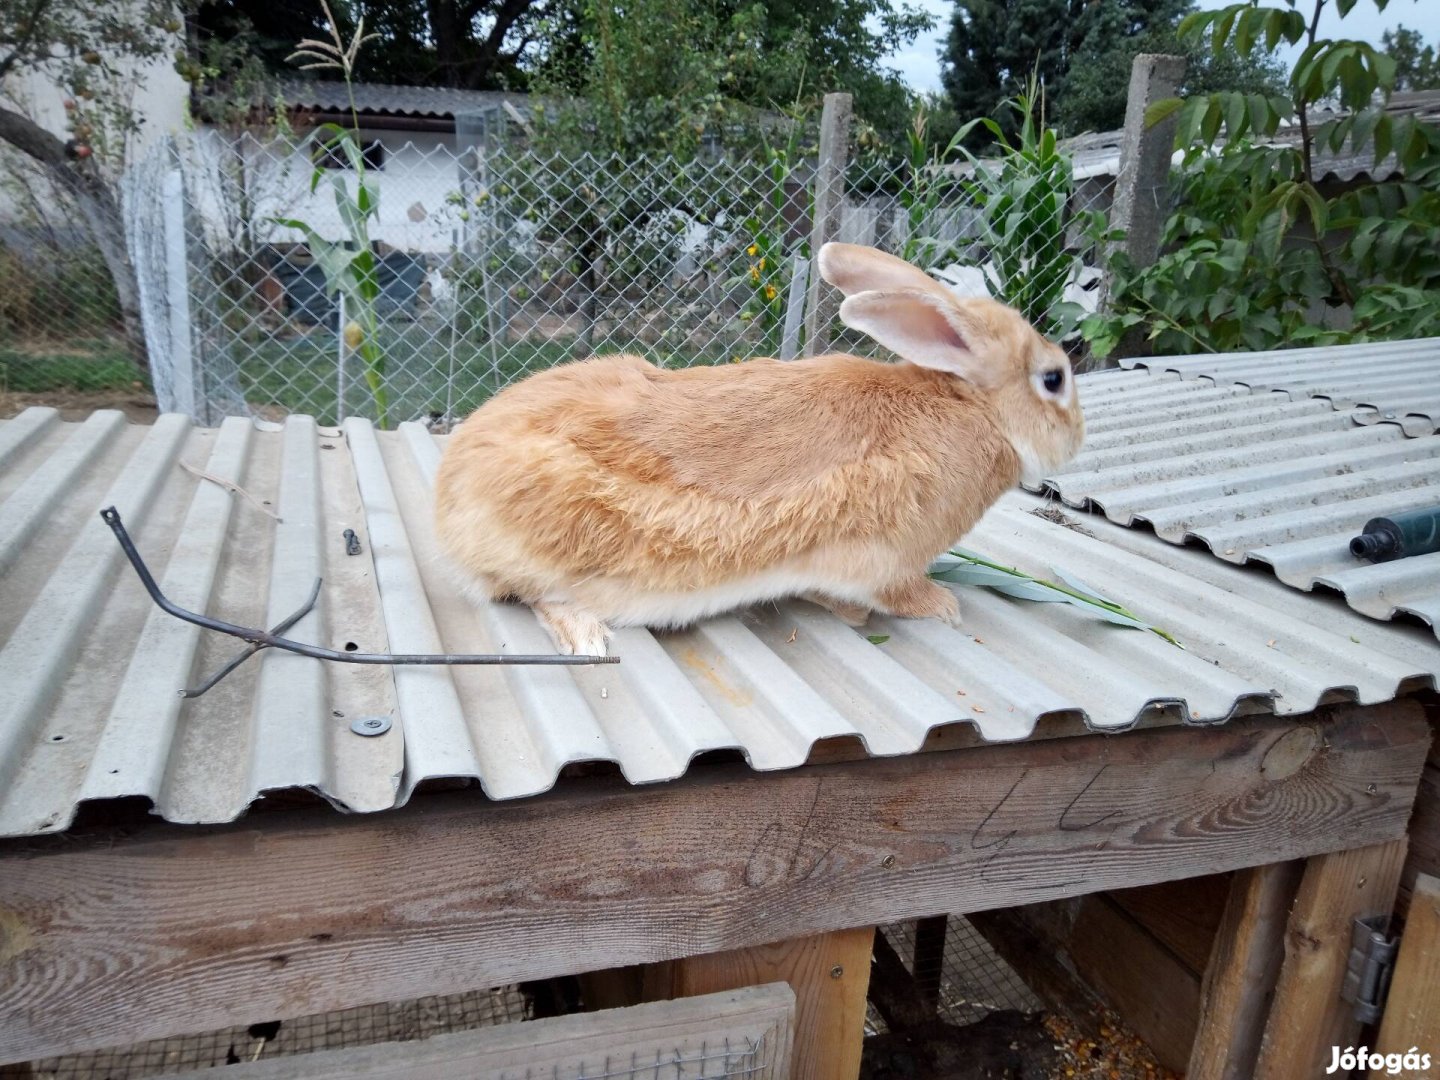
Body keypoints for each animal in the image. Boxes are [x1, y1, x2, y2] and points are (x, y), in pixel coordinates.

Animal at [432, 240, 1082, 656]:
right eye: (1053, 379)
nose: (1077, 440)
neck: (972, 407)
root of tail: (449, 497)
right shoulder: (882, 560)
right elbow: (885, 593)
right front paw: (942, 605)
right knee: (537, 596)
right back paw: (588, 639)